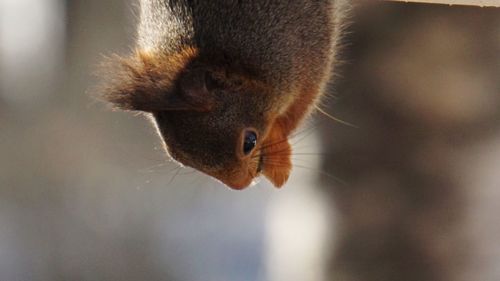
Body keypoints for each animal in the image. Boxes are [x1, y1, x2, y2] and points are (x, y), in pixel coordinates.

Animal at [101, 0, 348, 188]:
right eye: (179, 159)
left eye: (250, 142)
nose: (241, 185)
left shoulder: (306, 52)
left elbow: (298, 110)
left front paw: (278, 158)